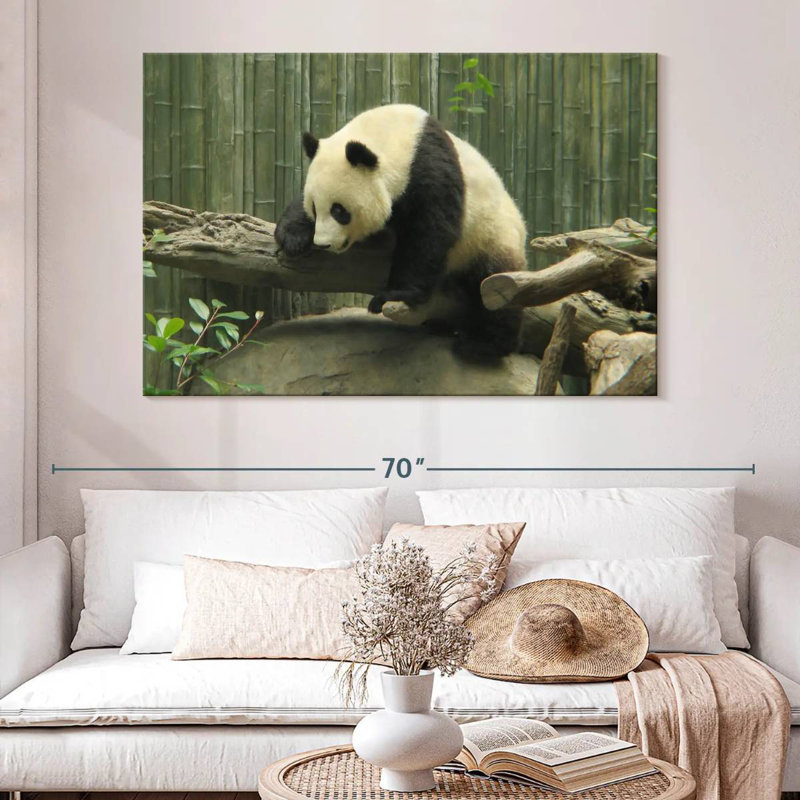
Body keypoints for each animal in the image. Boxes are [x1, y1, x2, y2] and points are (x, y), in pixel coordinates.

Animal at [274, 104, 527, 359]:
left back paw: (483, 345)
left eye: (339, 210)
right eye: (315, 208)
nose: (323, 243)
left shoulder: (430, 172)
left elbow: (430, 234)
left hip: (490, 237)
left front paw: (395, 293)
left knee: (492, 289)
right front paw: (292, 236)